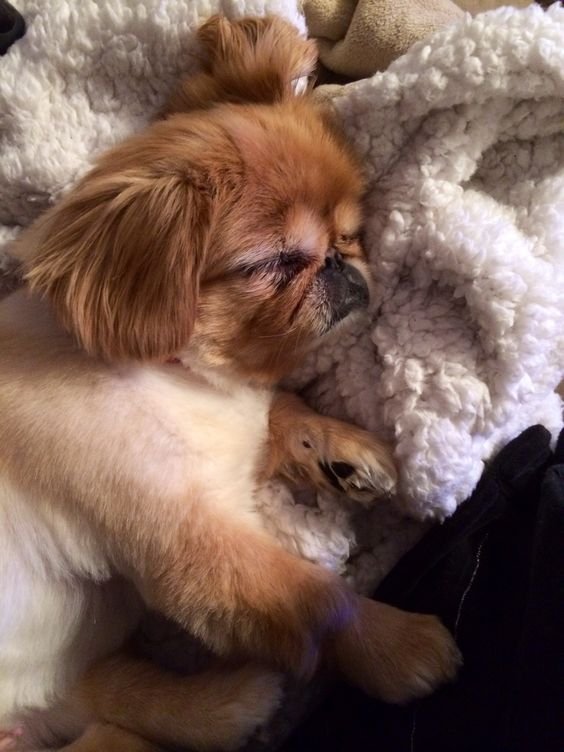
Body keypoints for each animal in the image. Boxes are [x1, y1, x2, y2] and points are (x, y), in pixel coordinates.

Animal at [0, 17, 458, 752]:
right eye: (276, 262)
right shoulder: (200, 552)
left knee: (122, 703)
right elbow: (320, 601)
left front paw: (343, 451)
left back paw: (233, 702)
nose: (343, 265)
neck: (181, 379)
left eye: (351, 234)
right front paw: (399, 645)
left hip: (78, 683)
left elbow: (283, 409)